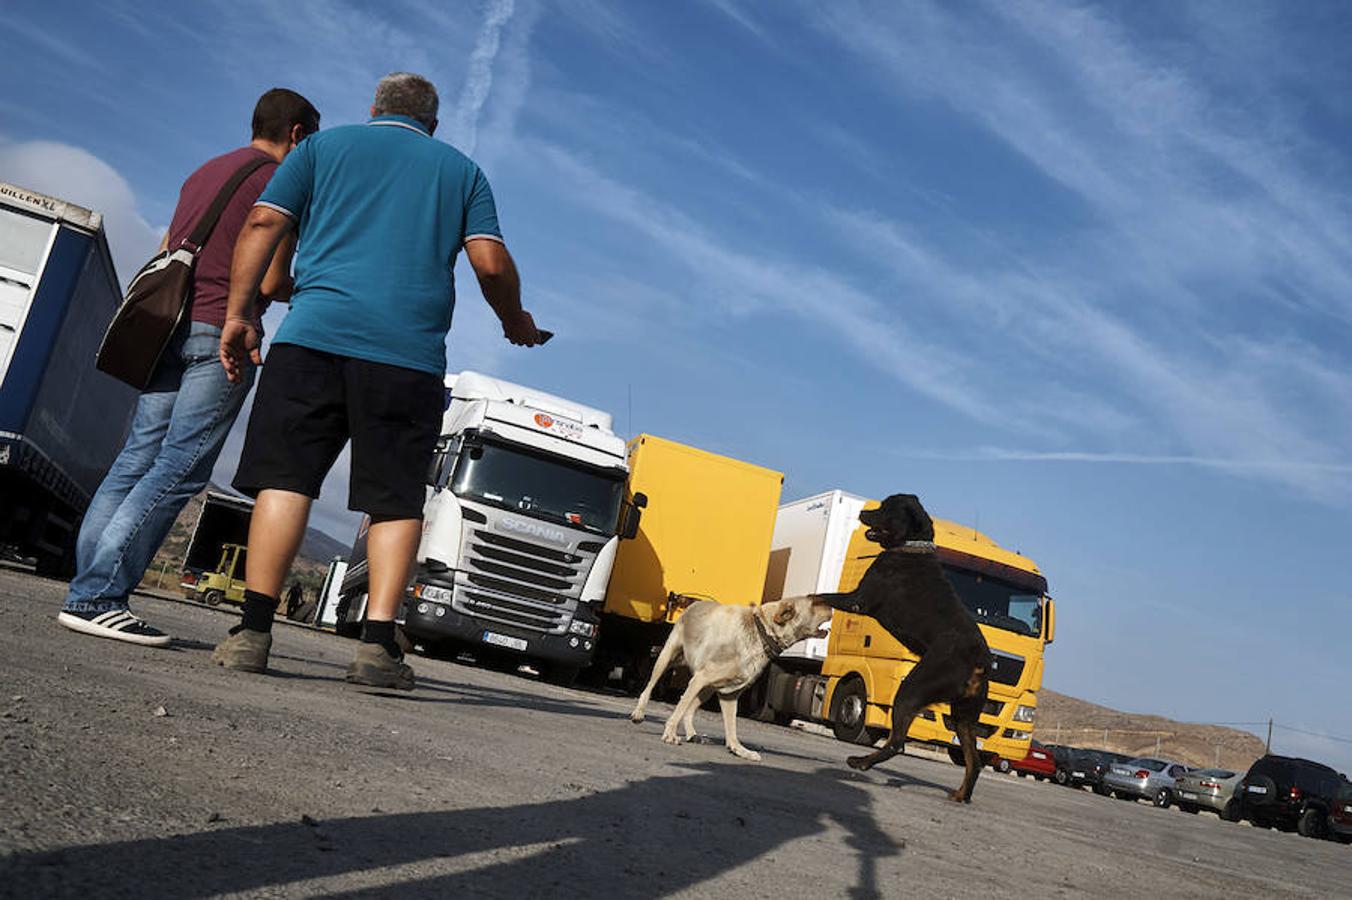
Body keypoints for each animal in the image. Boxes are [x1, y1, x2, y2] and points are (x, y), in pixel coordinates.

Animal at [630, 594, 832, 756]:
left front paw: (739, 749)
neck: (761, 633)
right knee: (651, 687)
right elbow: (680, 708)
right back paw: (639, 713)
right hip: (667, 657)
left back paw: (692, 733)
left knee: (690, 709)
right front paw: (670, 733)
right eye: (814, 603)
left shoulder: (730, 694)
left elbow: (731, 726)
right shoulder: (701, 678)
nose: (831, 605)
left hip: (707, 688)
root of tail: (696, 602)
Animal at [811, 494, 995, 800]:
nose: (863, 513)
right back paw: (961, 795)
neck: (910, 547)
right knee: (974, 760)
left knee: (897, 742)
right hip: (965, 715)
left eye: (886, 508)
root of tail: (979, 660)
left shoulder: (858, 600)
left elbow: (819, 595)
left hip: (911, 689)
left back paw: (860, 762)